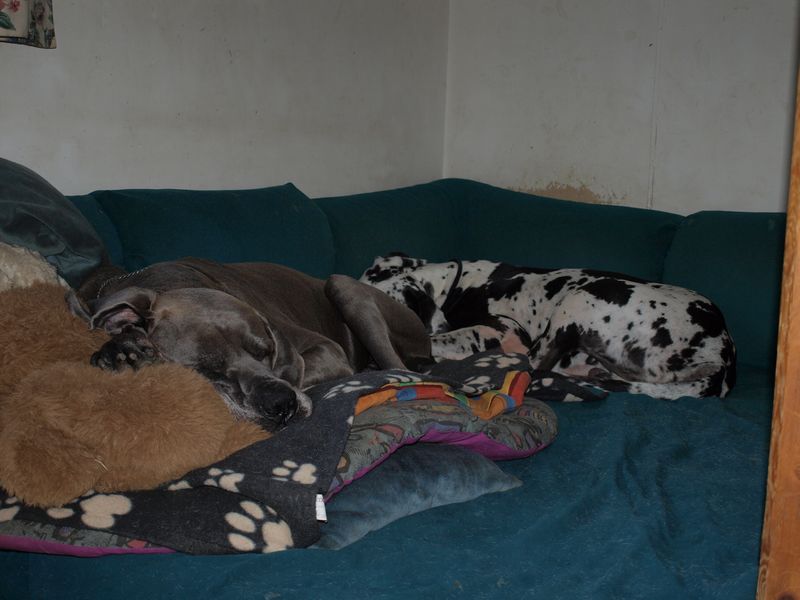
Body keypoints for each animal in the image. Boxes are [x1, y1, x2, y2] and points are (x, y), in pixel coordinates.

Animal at [69, 258, 432, 432]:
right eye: (205, 369)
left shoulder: (326, 350)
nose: (281, 404)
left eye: (266, 351)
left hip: (344, 287)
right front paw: (121, 352)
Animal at [360, 253, 736, 400]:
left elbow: (446, 337)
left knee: (533, 367)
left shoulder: (505, 329)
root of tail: (723, 352)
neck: (454, 284)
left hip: (582, 295)